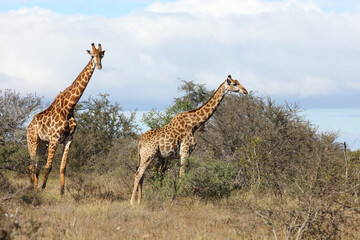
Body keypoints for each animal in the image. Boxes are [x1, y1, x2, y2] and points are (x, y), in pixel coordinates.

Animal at [26, 42, 105, 195]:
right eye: (92, 56)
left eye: (101, 55)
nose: (99, 66)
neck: (69, 107)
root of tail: (28, 126)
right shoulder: (55, 138)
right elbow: (49, 166)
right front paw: (43, 189)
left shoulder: (69, 139)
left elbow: (63, 168)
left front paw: (62, 194)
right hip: (32, 141)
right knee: (32, 165)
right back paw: (32, 189)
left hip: (42, 144)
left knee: (36, 165)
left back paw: (34, 188)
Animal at [131, 75, 249, 204]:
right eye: (234, 84)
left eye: (237, 82)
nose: (245, 91)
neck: (194, 125)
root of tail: (140, 141)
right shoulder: (185, 151)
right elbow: (182, 175)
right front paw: (181, 196)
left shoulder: (187, 153)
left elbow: (184, 174)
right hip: (149, 155)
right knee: (138, 174)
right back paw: (132, 202)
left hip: (146, 156)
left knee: (141, 175)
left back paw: (139, 201)